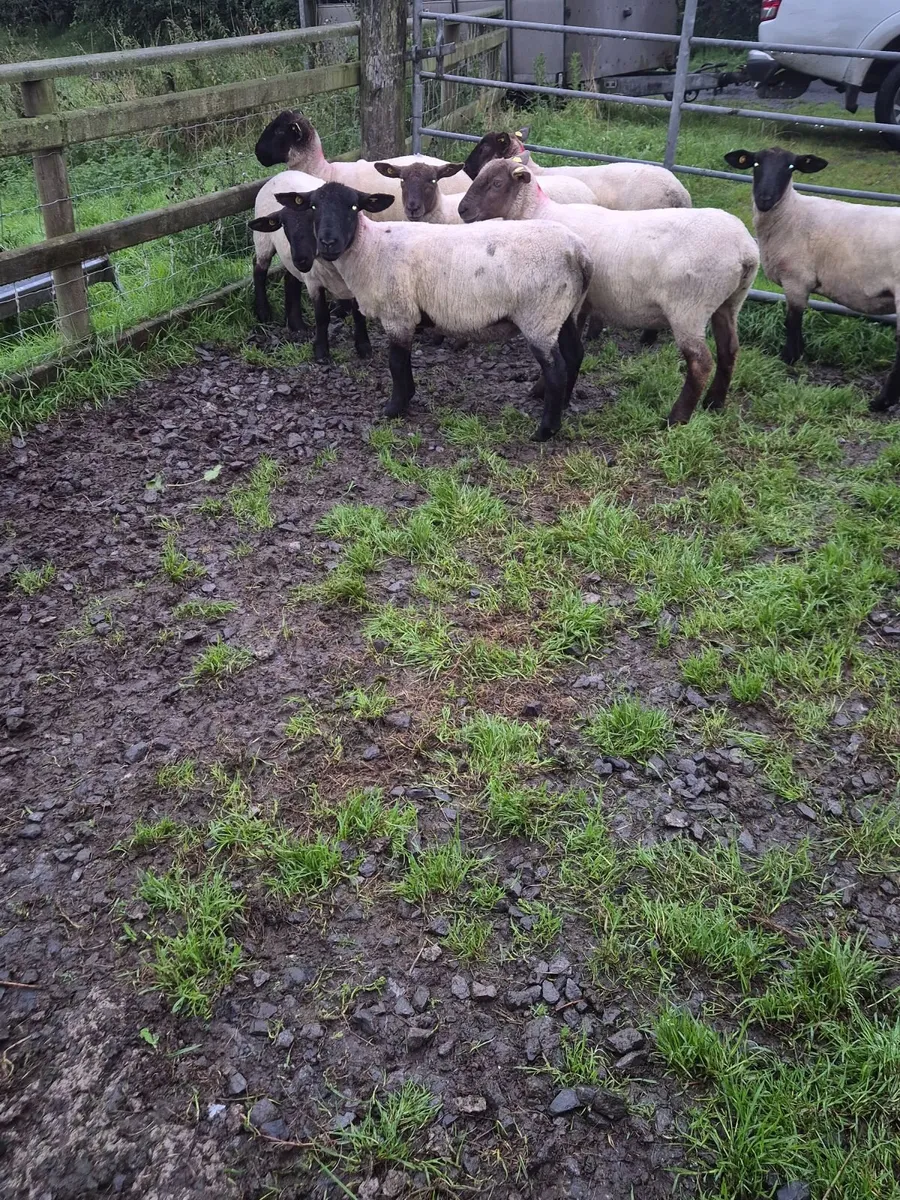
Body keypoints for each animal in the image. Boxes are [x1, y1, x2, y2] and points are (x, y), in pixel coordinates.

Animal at [249, 171, 370, 363]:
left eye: (314, 220)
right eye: (284, 225)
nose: (301, 259)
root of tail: (283, 172)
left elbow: (358, 313)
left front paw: (363, 346)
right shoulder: (314, 283)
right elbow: (321, 316)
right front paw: (321, 351)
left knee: (290, 279)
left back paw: (296, 324)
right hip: (263, 241)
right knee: (259, 270)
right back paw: (263, 313)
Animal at [276, 181, 593, 440]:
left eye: (354, 207)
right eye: (314, 207)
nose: (328, 243)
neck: (370, 248)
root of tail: (579, 251)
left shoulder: (398, 313)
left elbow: (396, 363)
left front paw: (394, 408)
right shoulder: (403, 316)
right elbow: (403, 362)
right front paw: (407, 398)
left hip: (539, 315)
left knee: (556, 369)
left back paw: (546, 430)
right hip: (563, 310)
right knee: (575, 354)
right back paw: (564, 403)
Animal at [458, 158, 759, 424]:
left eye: (496, 183)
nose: (462, 210)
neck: (537, 213)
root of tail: (746, 250)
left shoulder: (566, 302)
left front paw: (542, 389)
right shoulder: (581, 303)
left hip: (690, 308)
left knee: (700, 363)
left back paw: (677, 418)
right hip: (729, 302)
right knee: (729, 350)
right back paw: (714, 403)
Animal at [725, 146, 900, 413]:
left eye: (790, 167)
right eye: (755, 164)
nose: (765, 199)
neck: (791, 213)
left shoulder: (797, 279)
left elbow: (792, 320)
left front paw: (789, 357)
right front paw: (799, 354)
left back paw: (881, 402)